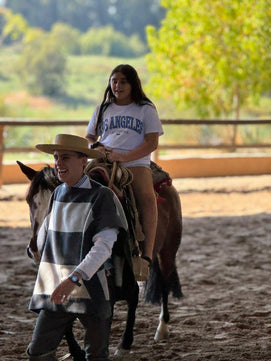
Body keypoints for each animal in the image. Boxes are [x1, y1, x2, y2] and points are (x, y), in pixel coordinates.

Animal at [17, 160, 183, 358]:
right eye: (29, 201)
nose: (35, 249)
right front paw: (75, 350)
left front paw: (120, 345)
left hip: (166, 251)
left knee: (161, 283)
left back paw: (159, 329)